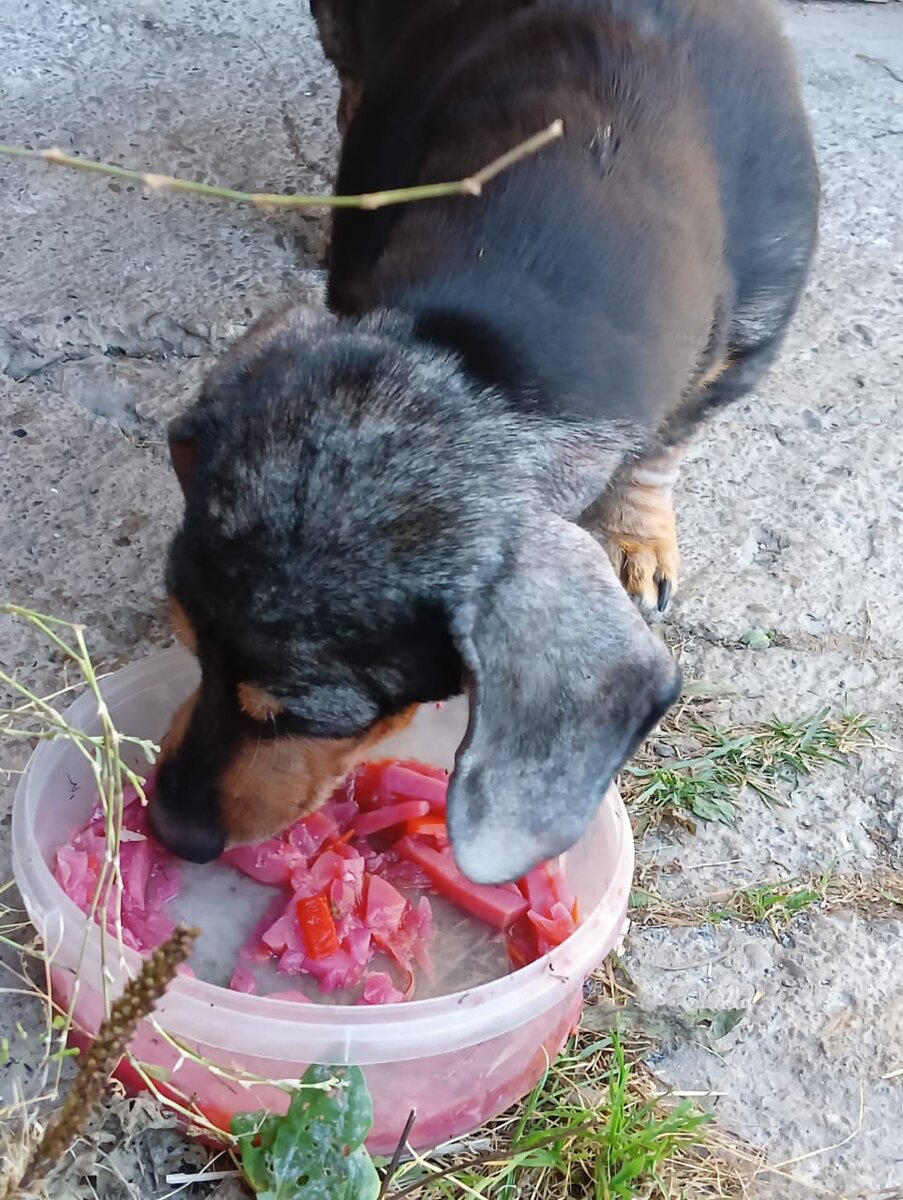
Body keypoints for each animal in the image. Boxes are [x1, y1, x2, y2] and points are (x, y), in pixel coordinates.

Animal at [153, 0, 816, 883]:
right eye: (187, 647)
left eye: (311, 718)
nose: (170, 832)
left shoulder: (745, 346)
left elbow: (659, 455)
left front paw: (638, 537)